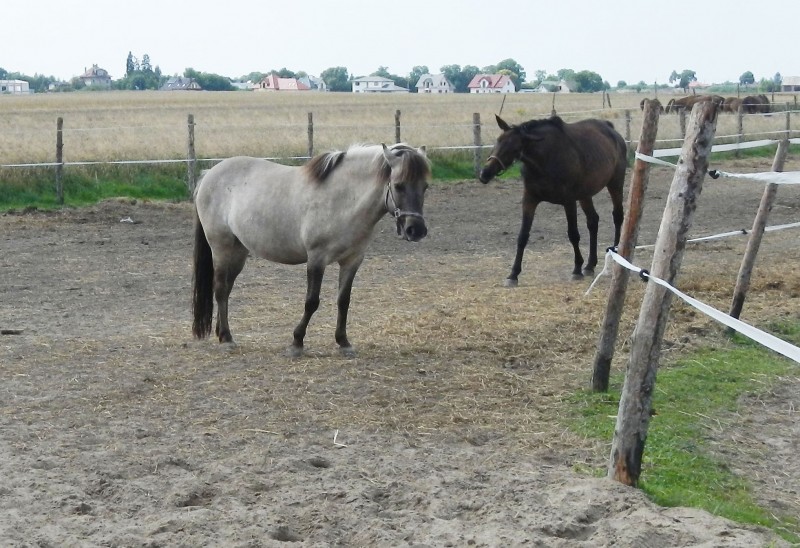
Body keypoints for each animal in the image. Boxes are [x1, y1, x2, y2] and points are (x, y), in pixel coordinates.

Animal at [192, 142, 432, 356]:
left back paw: (222, 334)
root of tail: (209, 174)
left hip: (239, 251)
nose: (416, 230)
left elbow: (344, 301)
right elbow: (312, 302)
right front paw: (296, 343)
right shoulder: (317, 259)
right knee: (220, 289)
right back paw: (227, 339)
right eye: (399, 185)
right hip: (221, 247)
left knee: (227, 289)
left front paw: (343, 342)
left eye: (425, 187)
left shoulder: (352, 260)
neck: (342, 199)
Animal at [482, 115, 624, 286]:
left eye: (514, 148)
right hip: (585, 194)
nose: (485, 173)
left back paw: (617, 257)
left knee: (618, 216)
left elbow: (573, 234)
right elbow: (523, 236)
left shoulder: (569, 201)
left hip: (615, 184)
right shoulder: (529, 200)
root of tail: (611, 130)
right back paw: (590, 265)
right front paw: (513, 274)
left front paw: (576, 269)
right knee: (593, 221)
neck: (544, 160)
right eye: (498, 141)